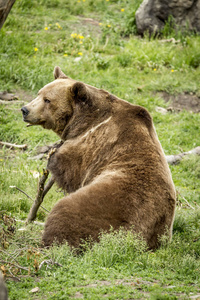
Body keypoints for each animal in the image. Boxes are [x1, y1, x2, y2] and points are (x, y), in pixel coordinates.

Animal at [21, 67, 176, 250]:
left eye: (47, 100)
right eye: (39, 93)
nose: (25, 109)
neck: (83, 119)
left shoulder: (94, 142)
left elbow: (70, 167)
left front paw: (52, 153)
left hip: (111, 204)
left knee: (67, 211)